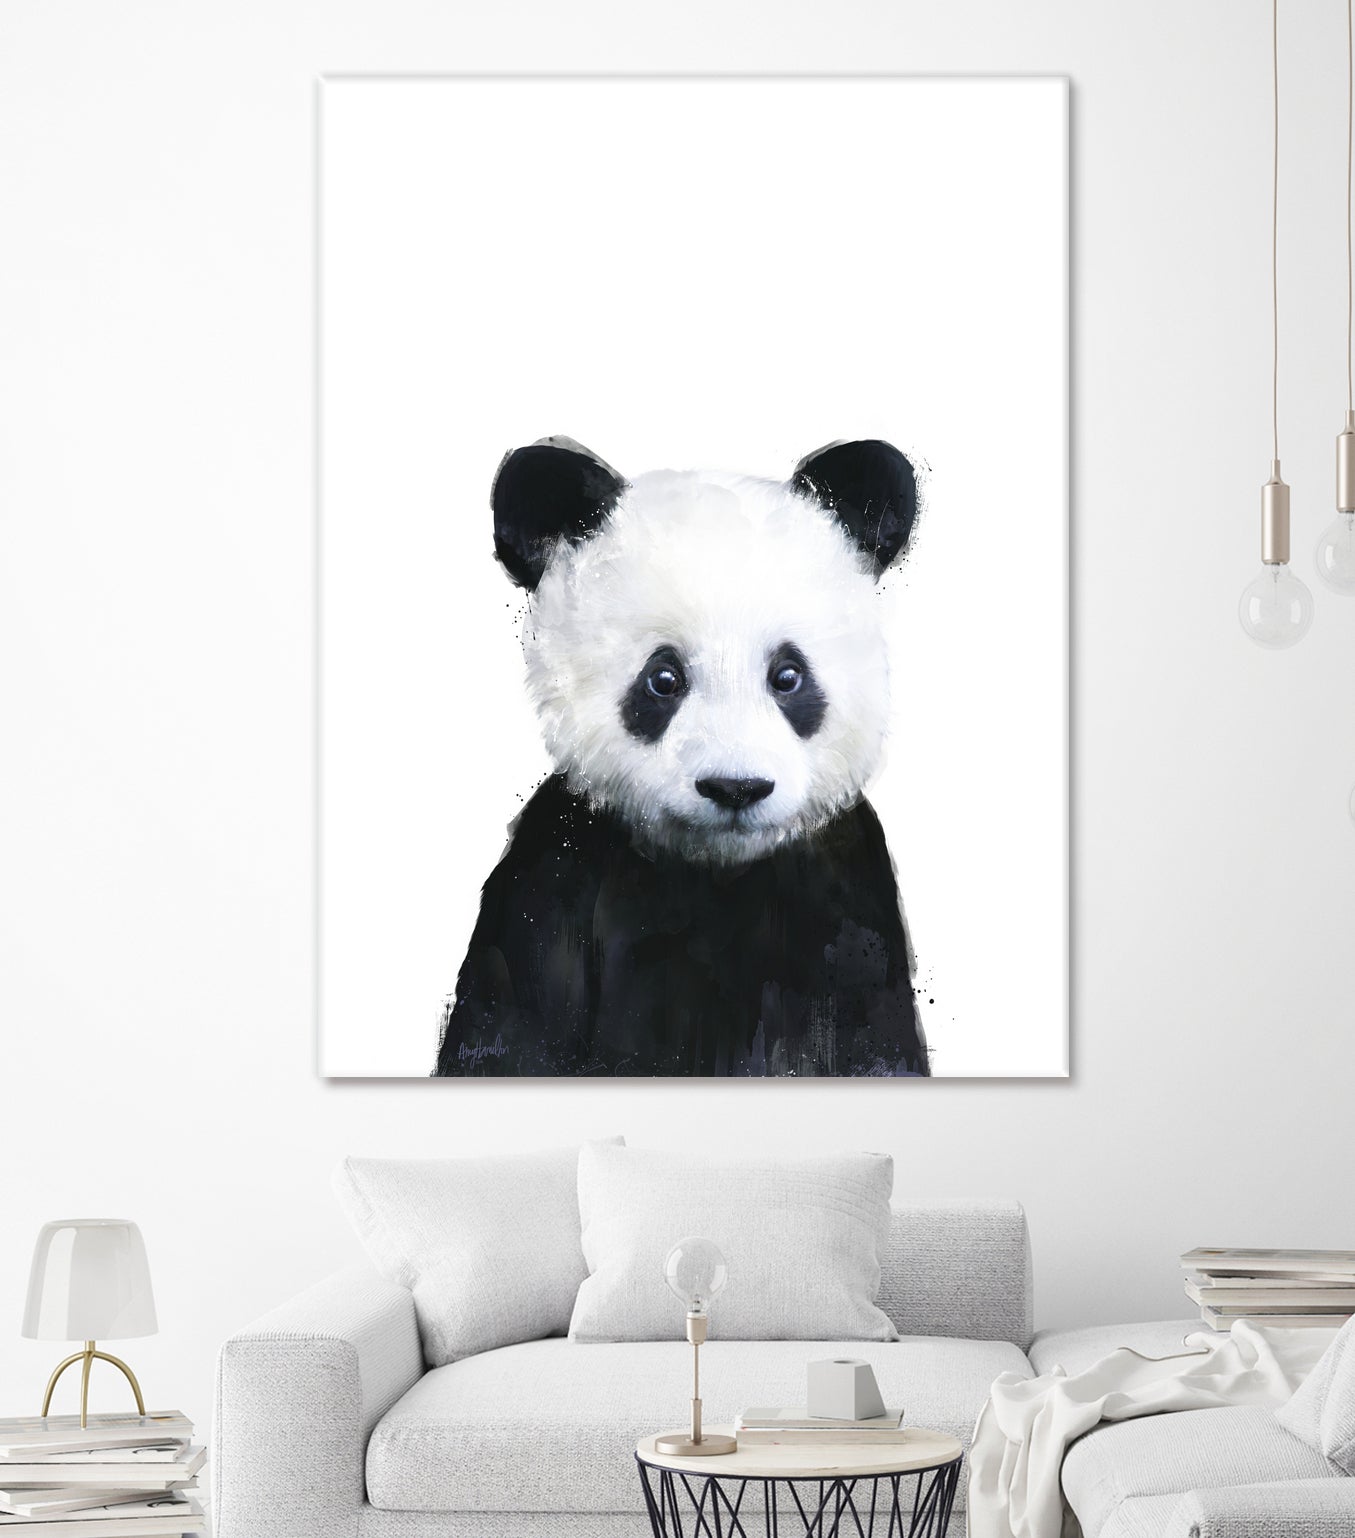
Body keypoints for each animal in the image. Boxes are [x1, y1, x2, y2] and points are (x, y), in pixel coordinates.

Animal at [434, 436, 930, 1078]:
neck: (715, 870)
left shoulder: (846, 896)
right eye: (663, 679)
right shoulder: (555, 876)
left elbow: (874, 1042)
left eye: (788, 676)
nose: (735, 788)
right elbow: (511, 1029)